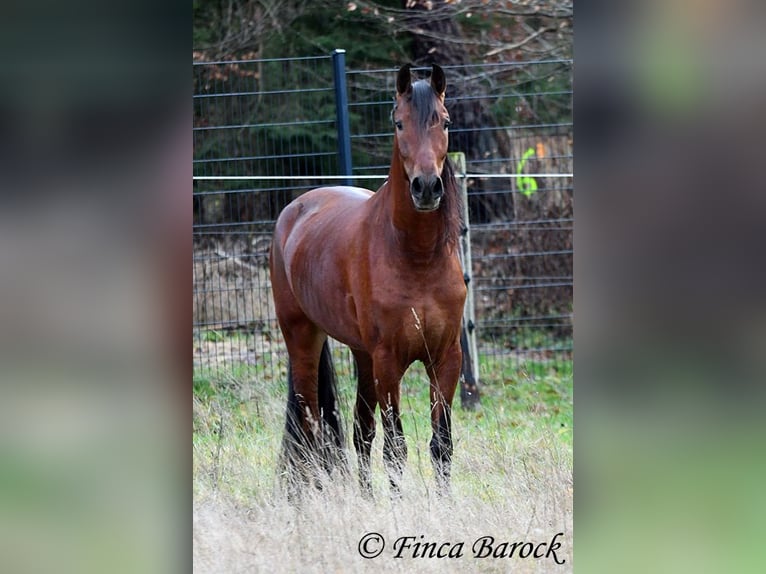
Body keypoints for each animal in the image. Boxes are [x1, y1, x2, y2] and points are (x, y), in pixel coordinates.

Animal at [269, 63, 466, 497]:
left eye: (444, 122)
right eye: (398, 122)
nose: (427, 187)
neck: (416, 256)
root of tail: (294, 210)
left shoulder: (446, 359)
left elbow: (441, 443)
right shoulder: (389, 361)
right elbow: (396, 449)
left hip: (362, 355)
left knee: (361, 430)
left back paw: (363, 496)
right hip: (303, 339)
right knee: (310, 424)